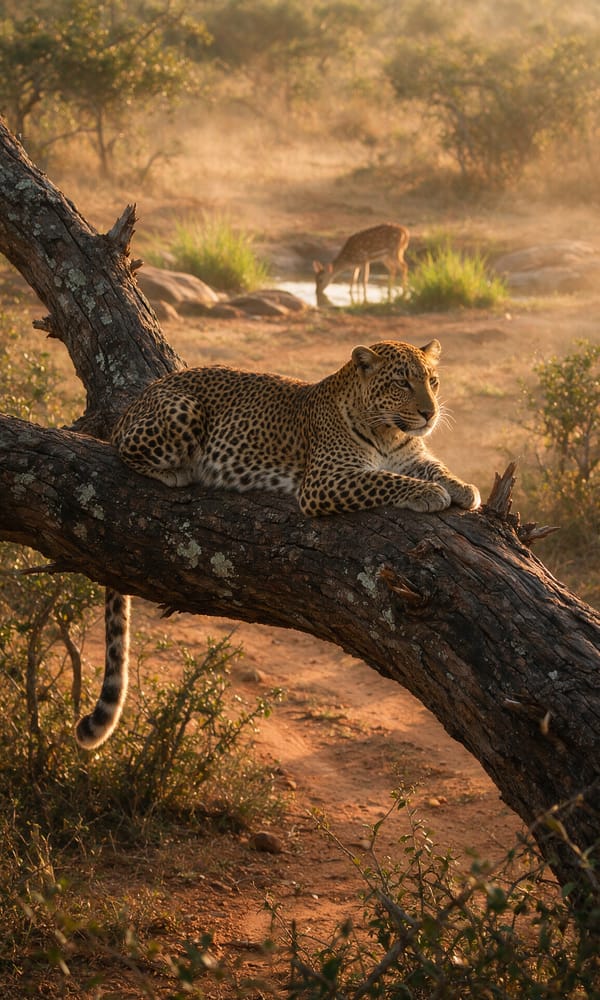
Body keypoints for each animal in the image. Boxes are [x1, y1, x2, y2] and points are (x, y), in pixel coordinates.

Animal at [75, 339, 480, 749]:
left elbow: (434, 466)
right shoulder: (325, 480)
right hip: (181, 411)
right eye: (401, 383)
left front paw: (464, 488)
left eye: (432, 381)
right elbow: (384, 479)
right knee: (125, 453)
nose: (429, 414)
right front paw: (429, 493)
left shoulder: (410, 456)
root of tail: (136, 402)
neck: (389, 433)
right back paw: (177, 472)